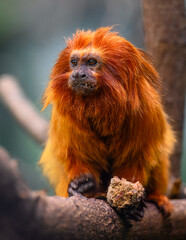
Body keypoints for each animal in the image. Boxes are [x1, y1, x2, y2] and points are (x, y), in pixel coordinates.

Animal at [39, 26, 174, 218]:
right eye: (74, 62)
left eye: (91, 62)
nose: (78, 74)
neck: (100, 106)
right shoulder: (65, 117)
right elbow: (72, 154)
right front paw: (83, 187)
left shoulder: (145, 111)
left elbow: (137, 157)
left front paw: (129, 197)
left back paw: (156, 196)